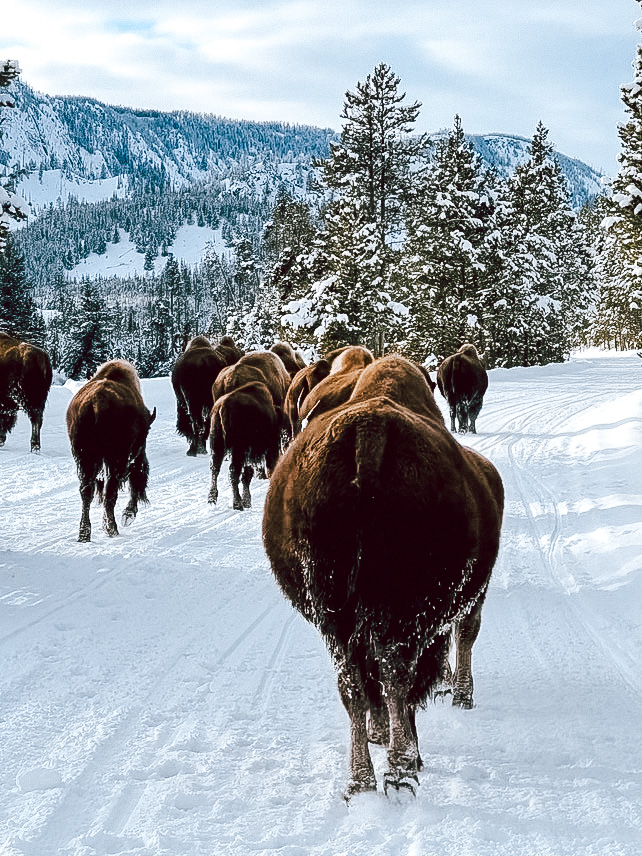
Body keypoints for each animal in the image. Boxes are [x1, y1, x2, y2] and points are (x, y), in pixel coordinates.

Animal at [66, 360, 155, 540]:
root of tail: (96, 403)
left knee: (87, 491)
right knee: (111, 491)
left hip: (85, 458)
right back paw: (112, 528)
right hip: (116, 459)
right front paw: (128, 515)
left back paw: (85, 533)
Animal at [262, 354, 502, 796]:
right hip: (409, 609)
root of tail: (369, 432)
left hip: (334, 613)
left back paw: (361, 779)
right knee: (398, 673)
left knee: (354, 684)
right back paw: (402, 765)